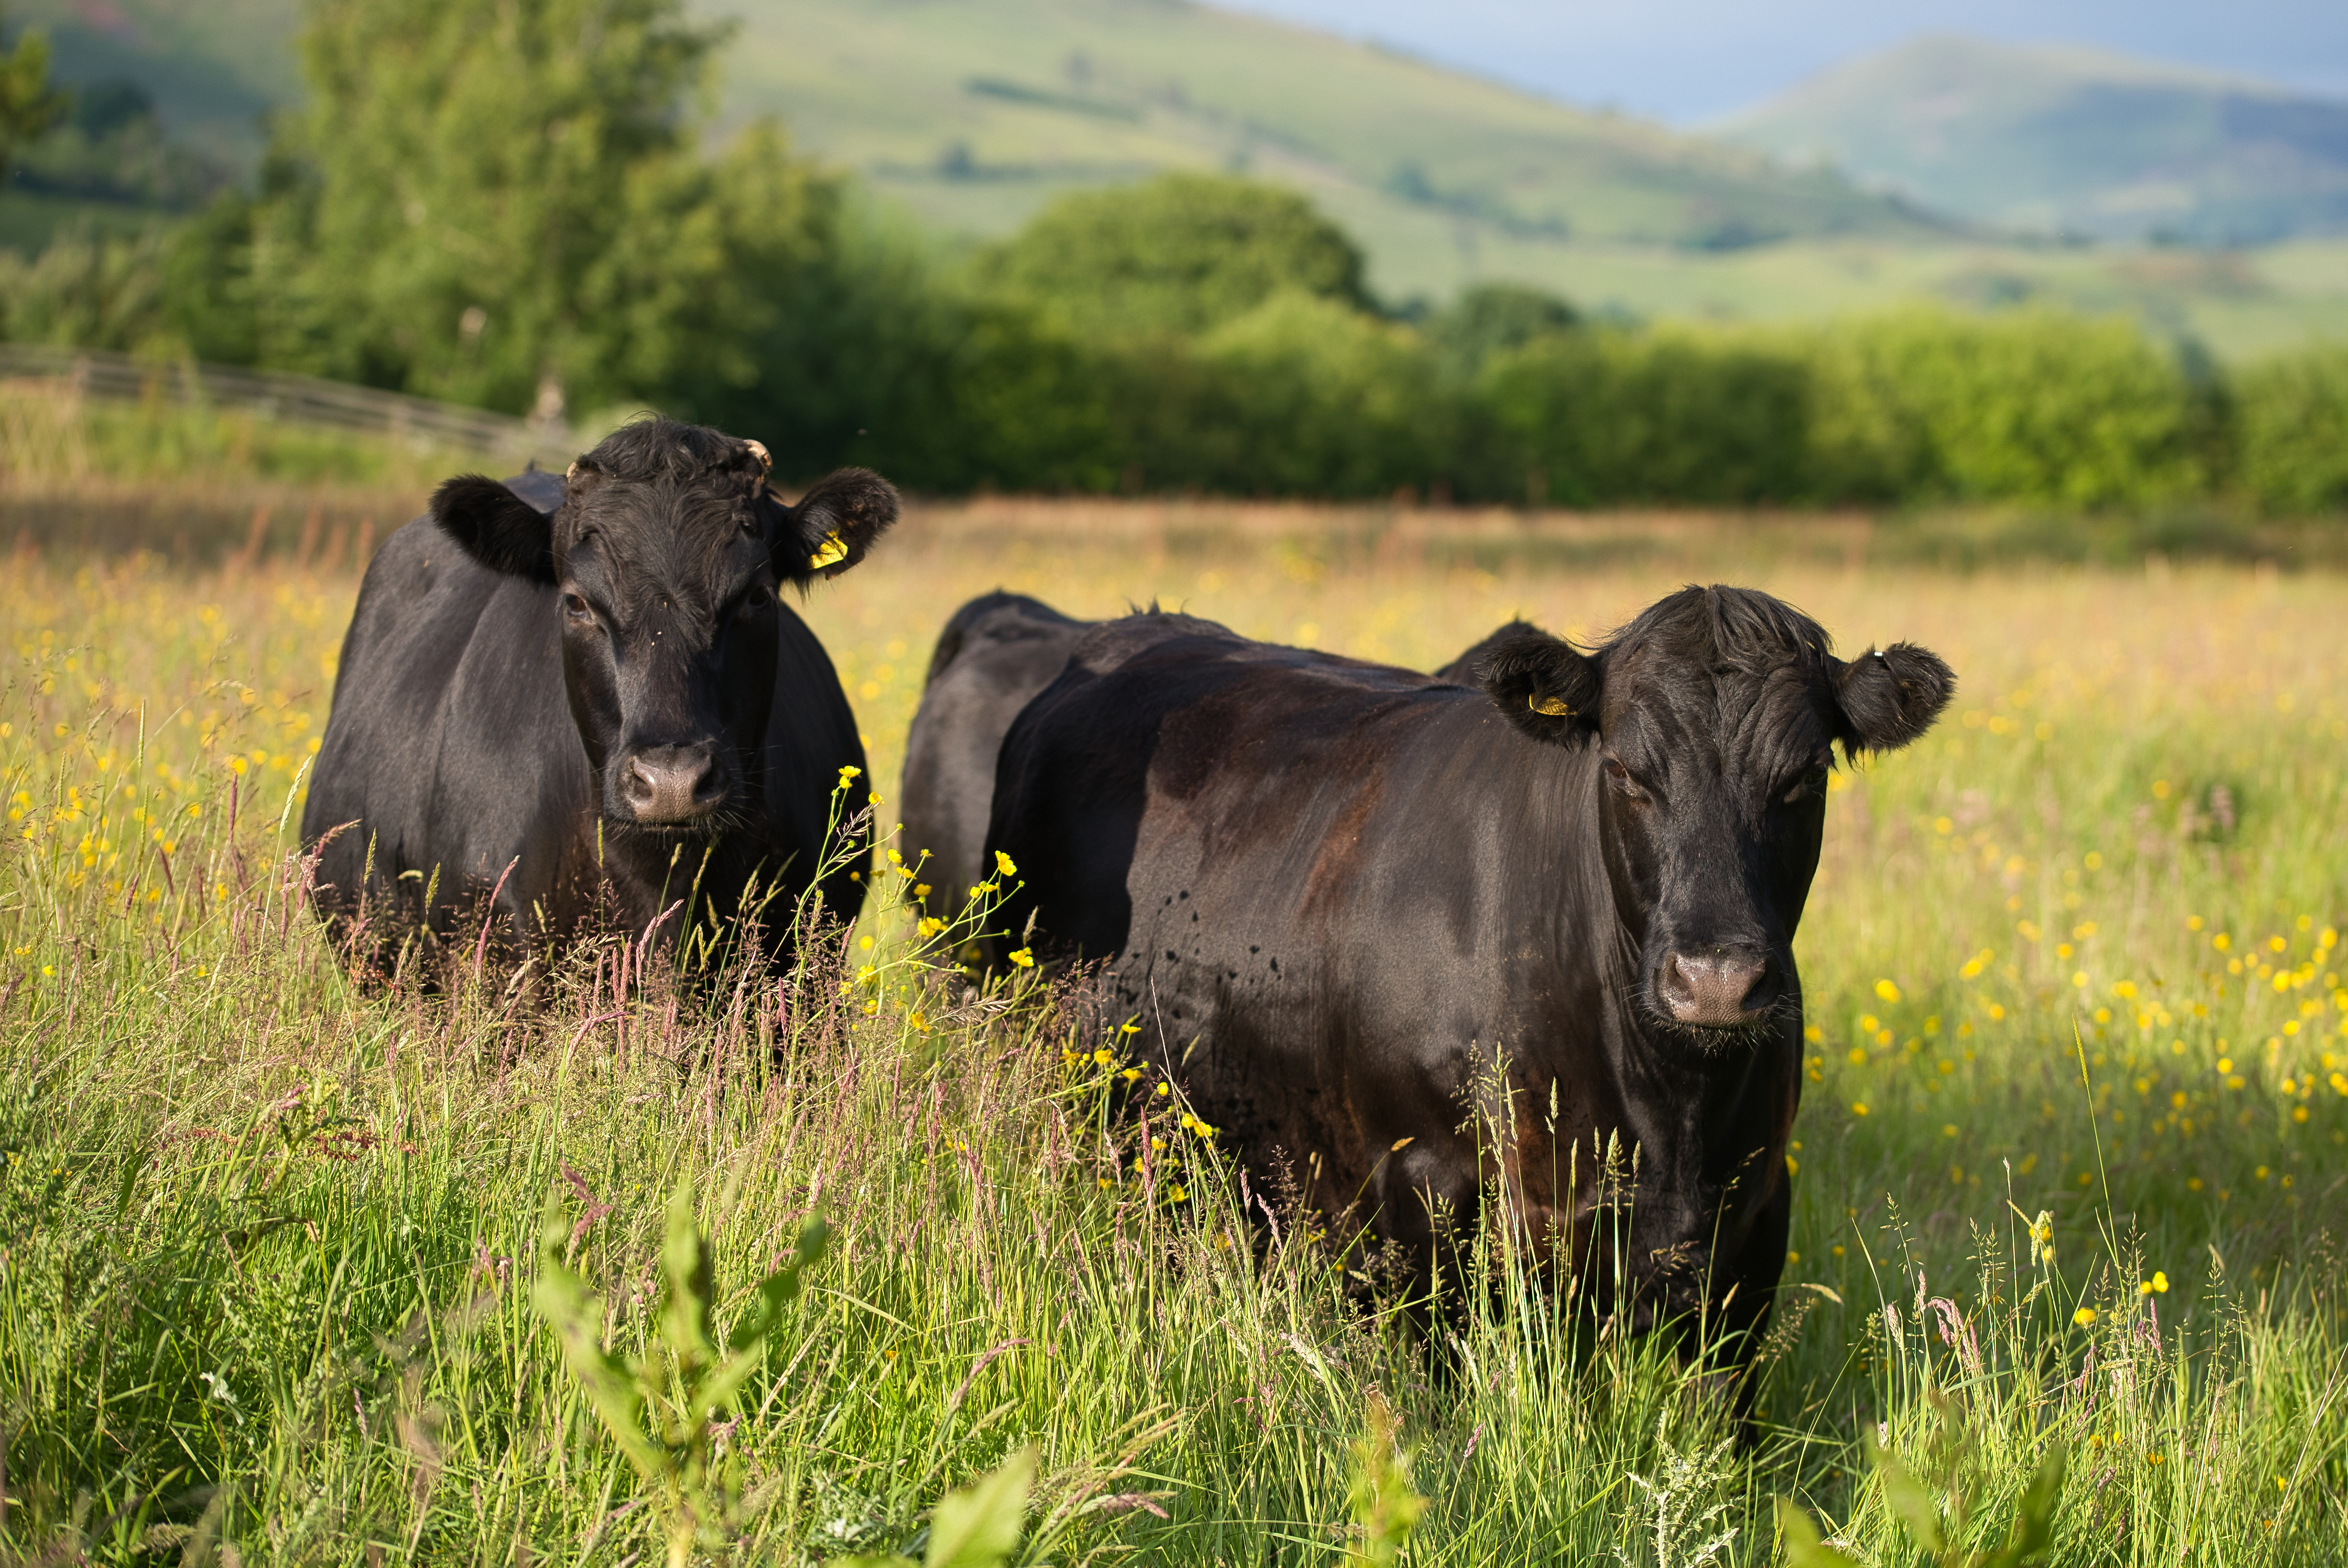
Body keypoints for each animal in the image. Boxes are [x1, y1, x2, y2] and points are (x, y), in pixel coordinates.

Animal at [941, 585, 1951, 1396]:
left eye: (1803, 776)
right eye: (1625, 770)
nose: (1713, 982)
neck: (1667, 1108)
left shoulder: (1749, 1224)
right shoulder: (1420, 1197)